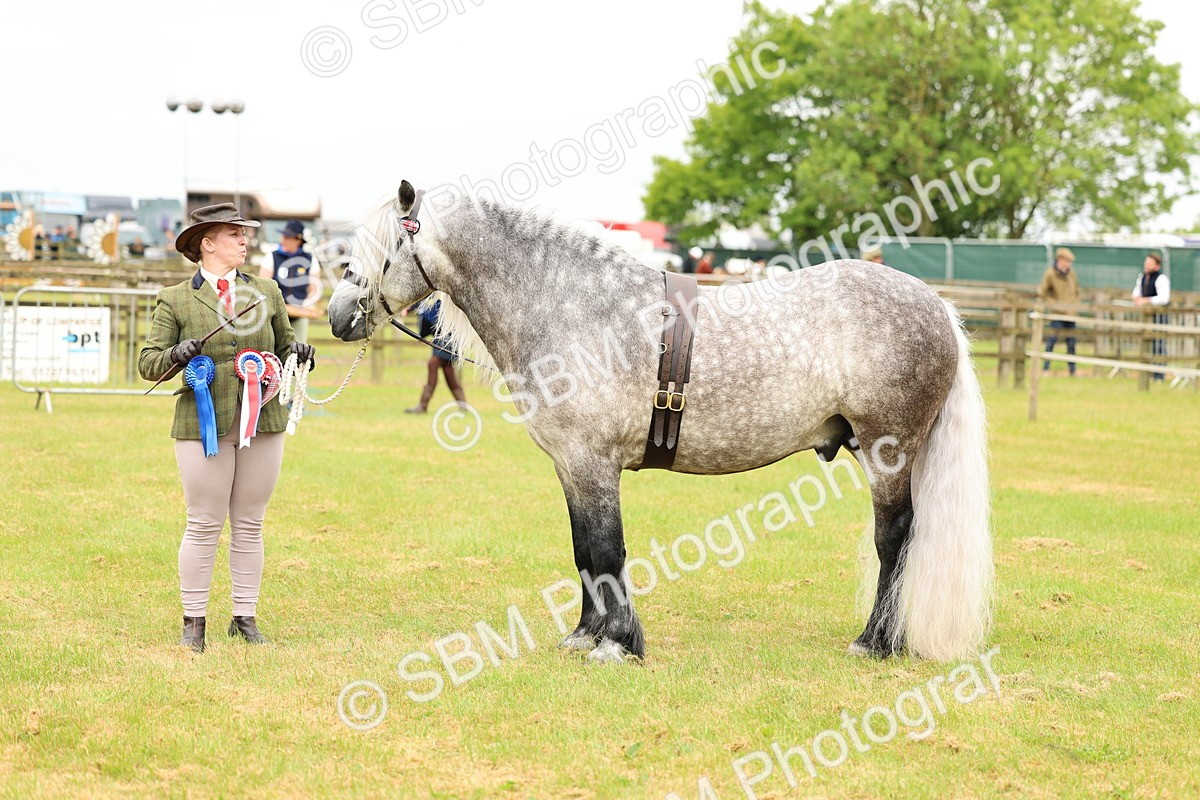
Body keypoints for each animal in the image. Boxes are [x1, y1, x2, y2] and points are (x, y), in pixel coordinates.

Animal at [328, 181, 993, 664]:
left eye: (383, 249)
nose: (337, 316)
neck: (572, 305)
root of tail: (936, 304)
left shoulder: (593, 464)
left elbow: (607, 548)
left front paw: (617, 644)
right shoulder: (572, 468)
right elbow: (585, 551)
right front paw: (585, 635)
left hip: (888, 451)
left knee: (895, 539)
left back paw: (875, 642)